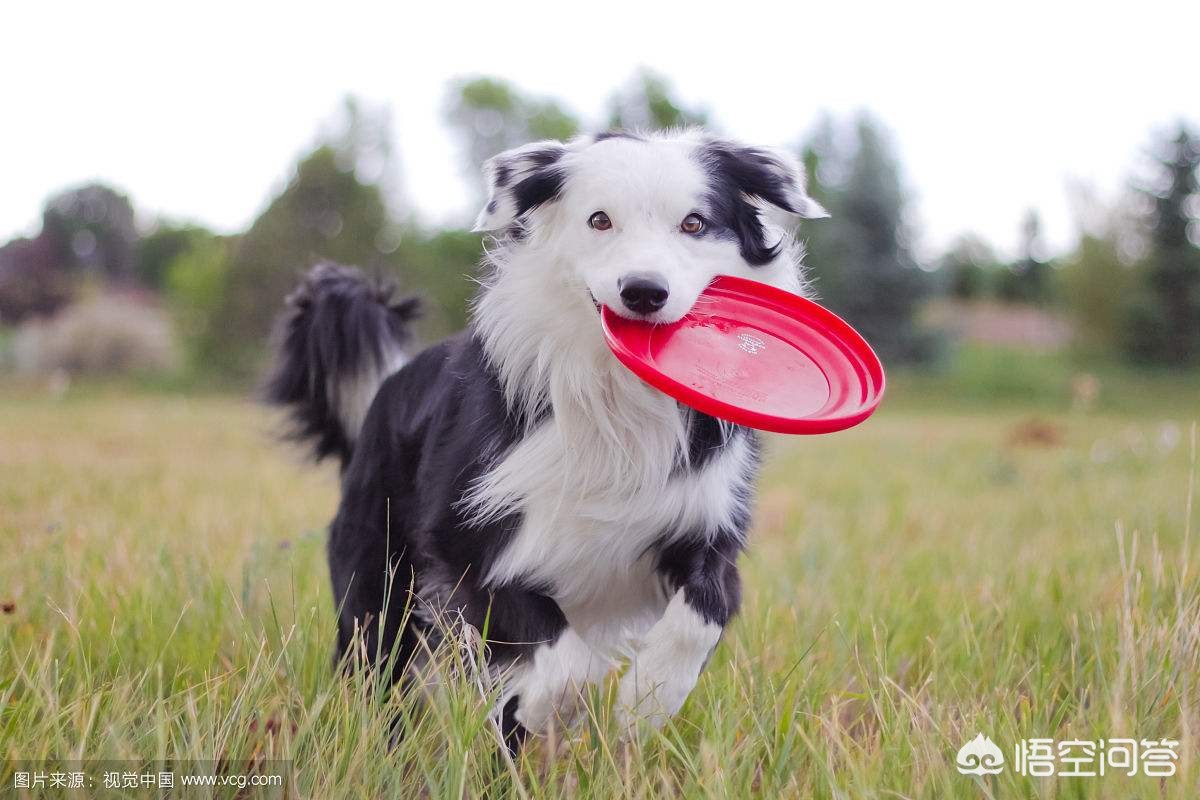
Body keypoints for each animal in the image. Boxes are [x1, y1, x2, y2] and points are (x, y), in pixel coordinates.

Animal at [265, 130, 825, 753]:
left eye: (695, 223)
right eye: (599, 219)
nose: (644, 291)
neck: (616, 397)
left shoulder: (706, 525)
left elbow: (703, 612)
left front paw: (645, 704)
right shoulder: (463, 543)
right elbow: (564, 664)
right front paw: (549, 709)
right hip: (378, 579)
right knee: (376, 667)